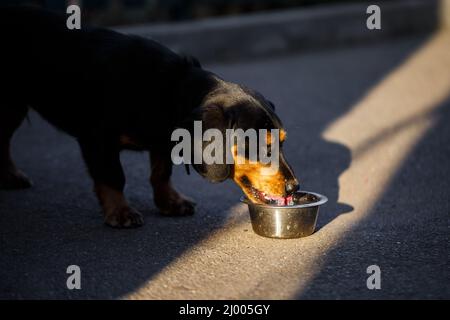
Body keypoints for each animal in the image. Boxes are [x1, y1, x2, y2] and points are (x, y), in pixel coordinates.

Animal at [0, 6, 298, 228]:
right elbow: (113, 176)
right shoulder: (98, 139)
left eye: (282, 142)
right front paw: (120, 212)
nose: (294, 188)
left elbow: (161, 173)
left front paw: (170, 202)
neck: (171, 89)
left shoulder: (163, 142)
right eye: (263, 147)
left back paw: (11, 176)